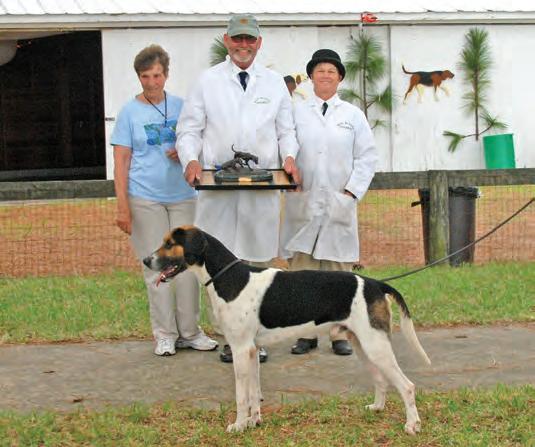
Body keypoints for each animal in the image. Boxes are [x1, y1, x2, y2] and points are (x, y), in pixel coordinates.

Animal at [144, 226, 434, 436]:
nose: (146, 260)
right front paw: (254, 422)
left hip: (376, 346)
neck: (230, 279)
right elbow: (254, 393)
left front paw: (238, 425)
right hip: (364, 345)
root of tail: (376, 284)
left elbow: (241, 396)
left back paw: (412, 425)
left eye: (169, 243)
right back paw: (377, 408)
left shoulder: (240, 350)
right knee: (382, 380)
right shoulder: (251, 351)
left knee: (407, 386)